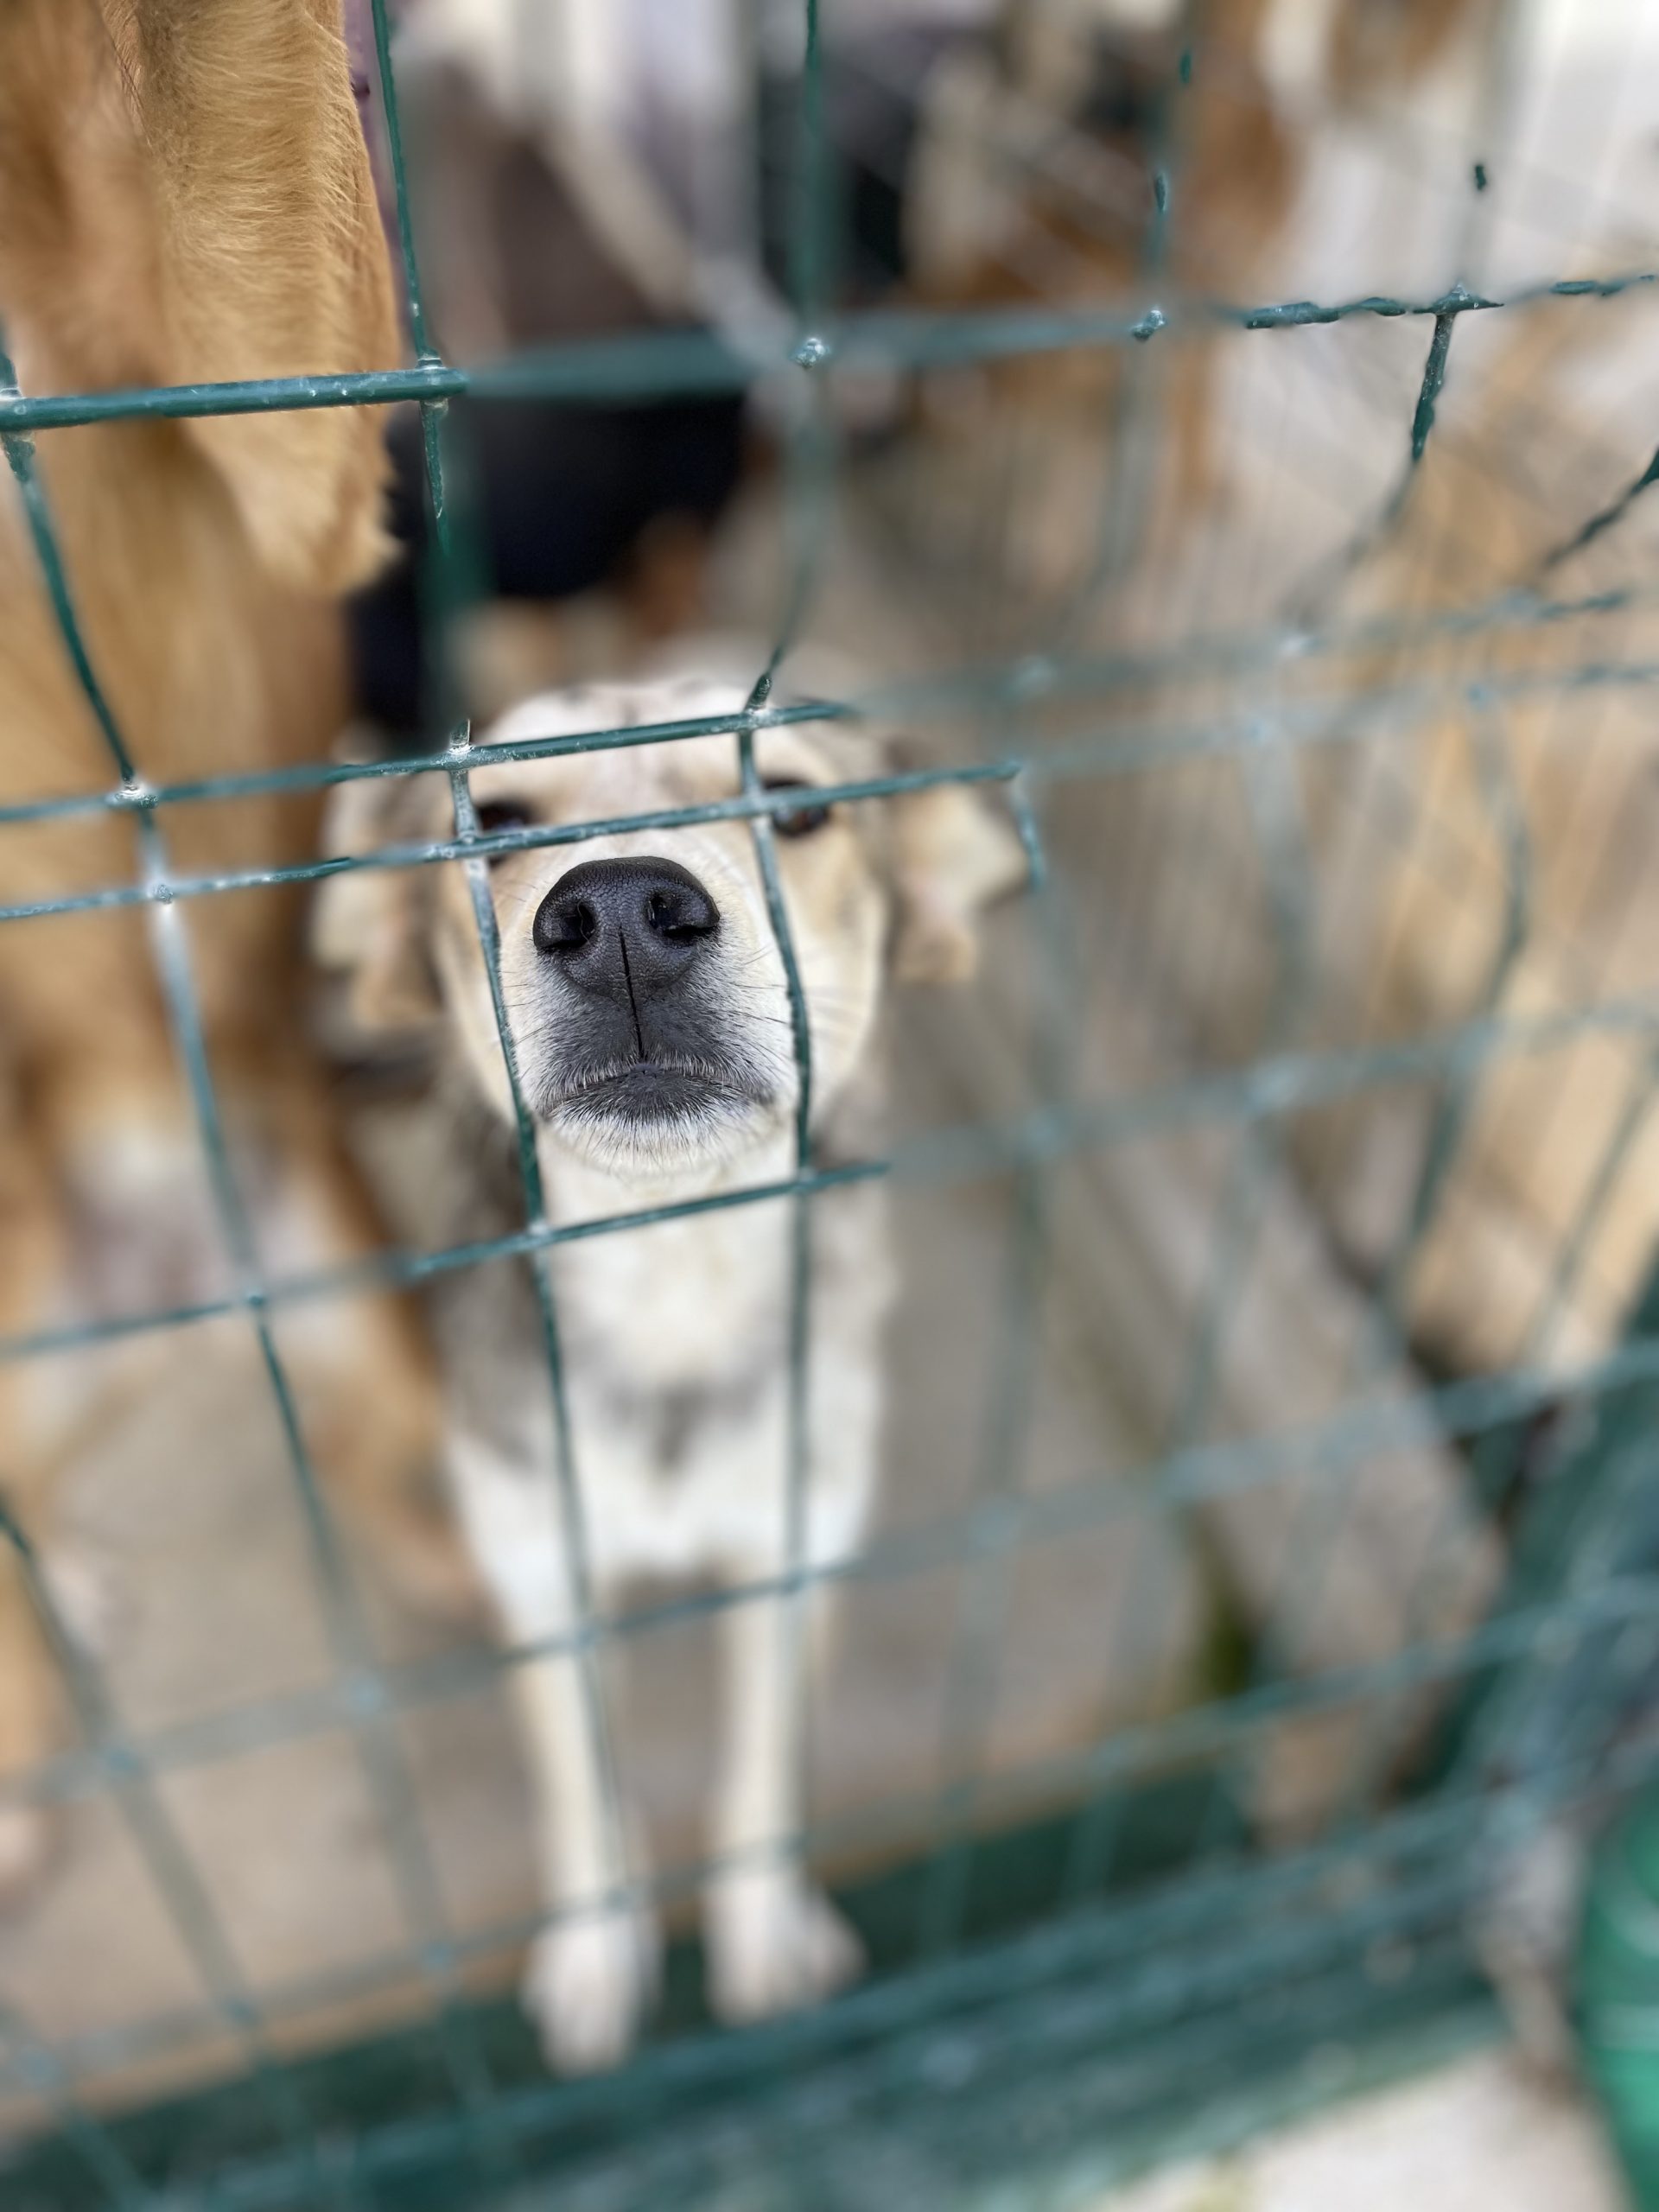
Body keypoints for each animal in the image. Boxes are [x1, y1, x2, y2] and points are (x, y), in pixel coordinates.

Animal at [317, 659, 1028, 2068]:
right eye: (492, 822)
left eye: (796, 808)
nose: (619, 919)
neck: (672, 1284)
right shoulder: (548, 1580)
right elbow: (583, 1787)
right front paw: (599, 1953)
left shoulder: (794, 1556)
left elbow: (761, 1774)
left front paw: (762, 1932)